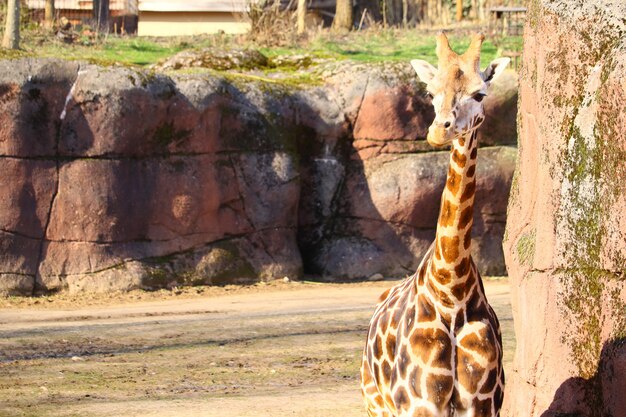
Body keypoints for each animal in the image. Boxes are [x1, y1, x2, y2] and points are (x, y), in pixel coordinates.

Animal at [358, 32, 510, 416]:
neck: (451, 290)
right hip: (376, 403)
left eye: (479, 93)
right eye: (430, 92)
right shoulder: (421, 403)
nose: (439, 131)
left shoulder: (481, 405)